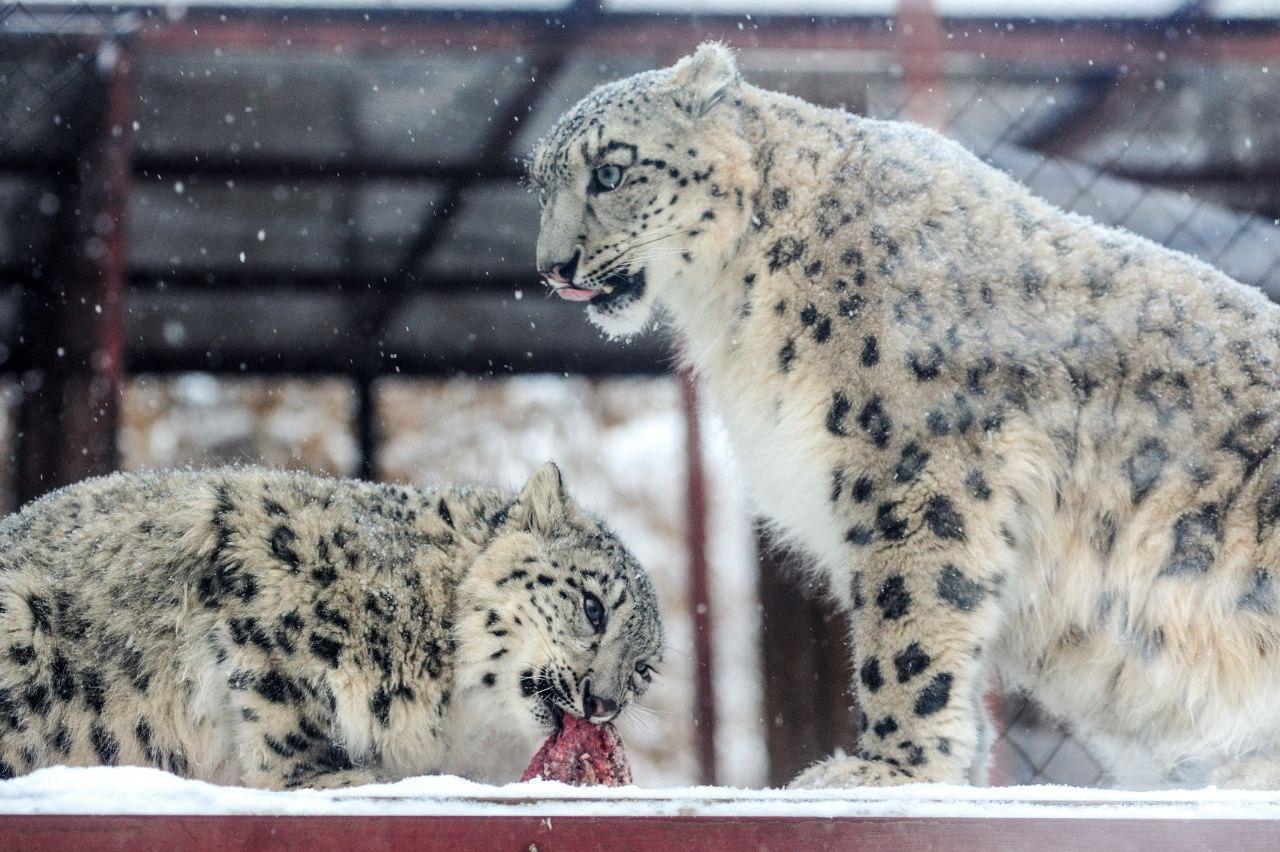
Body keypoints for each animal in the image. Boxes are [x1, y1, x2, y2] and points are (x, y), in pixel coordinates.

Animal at [0, 460, 660, 788]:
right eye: (594, 606)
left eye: (644, 671)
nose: (603, 703)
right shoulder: (266, 566)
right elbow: (284, 700)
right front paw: (324, 774)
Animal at [529, 44, 1280, 788]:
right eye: (540, 187)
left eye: (609, 171)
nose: (552, 266)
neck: (735, 308)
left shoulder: (916, 463)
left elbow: (908, 616)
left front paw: (890, 768)